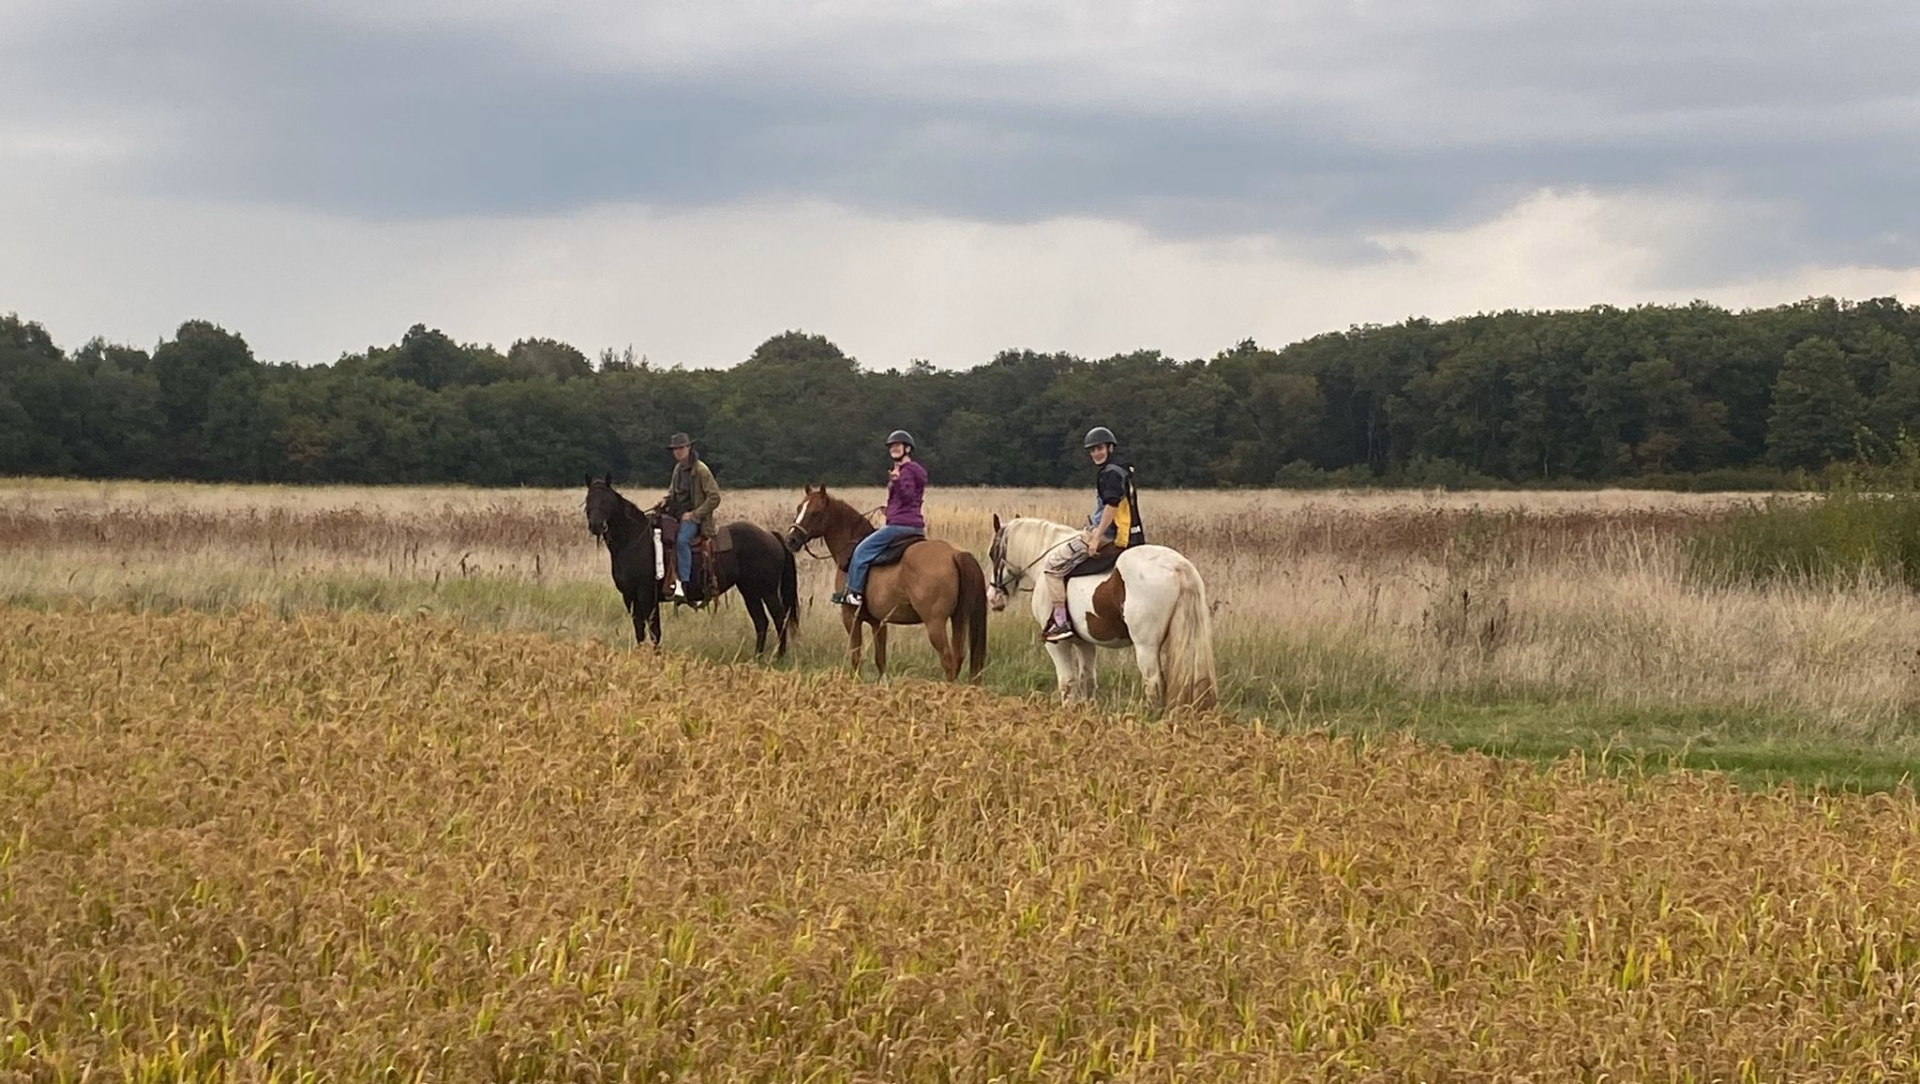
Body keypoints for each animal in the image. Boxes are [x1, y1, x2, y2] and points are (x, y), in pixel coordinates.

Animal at [584, 475, 800, 656]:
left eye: (607, 500)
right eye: (588, 500)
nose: (596, 525)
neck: (635, 540)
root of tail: (771, 535)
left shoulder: (646, 594)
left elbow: (654, 630)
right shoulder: (630, 596)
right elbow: (640, 629)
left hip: (767, 591)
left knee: (779, 618)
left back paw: (779, 656)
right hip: (750, 591)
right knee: (761, 621)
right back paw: (757, 657)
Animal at [783, 484, 988, 682]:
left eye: (815, 512)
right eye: (799, 508)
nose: (790, 540)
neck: (851, 548)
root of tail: (956, 554)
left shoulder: (850, 617)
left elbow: (856, 656)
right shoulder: (878, 622)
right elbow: (880, 660)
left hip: (935, 623)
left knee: (948, 660)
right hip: (958, 618)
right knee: (958, 657)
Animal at [986, 515, 1217, 710]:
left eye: (992, 553)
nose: (992, 597)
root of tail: (1177, 566)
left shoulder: (1057, 644)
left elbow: (1067, 682)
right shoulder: (1085, 643)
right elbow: (1088, 680)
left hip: (1146, 647)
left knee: (1153, 684)